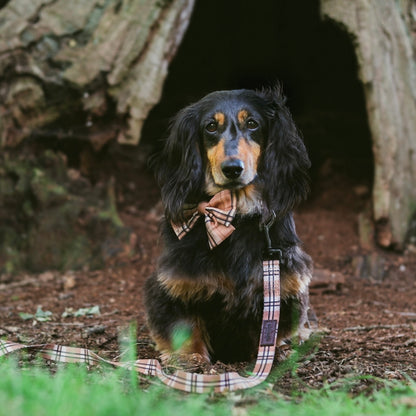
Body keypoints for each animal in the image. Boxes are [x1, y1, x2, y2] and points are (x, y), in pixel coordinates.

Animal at [145, 88, 312, 364]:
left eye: (253, 123)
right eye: (211, 126)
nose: (232, 169)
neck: (234, 213)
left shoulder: (284, 285)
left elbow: (270, 332)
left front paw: (277, 352)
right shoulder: (173, 285)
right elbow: (184, 328)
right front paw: (189, 358)